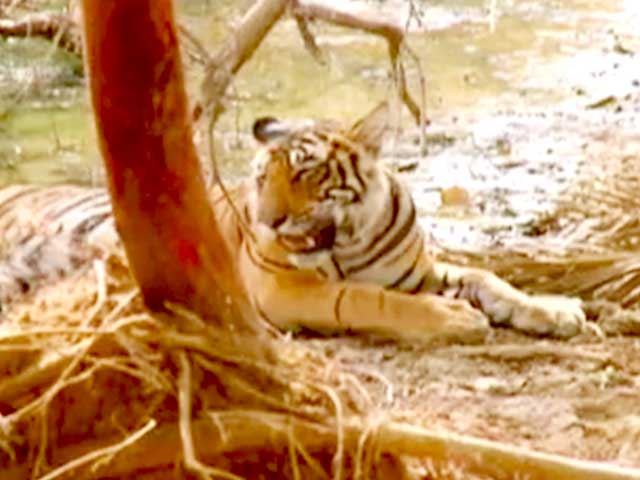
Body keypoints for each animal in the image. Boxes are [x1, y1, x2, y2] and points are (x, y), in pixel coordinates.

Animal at [0, 103, 587, 341]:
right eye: (262, 178)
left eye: (306, 172)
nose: (268, 221)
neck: (352, 238)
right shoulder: (281, 288)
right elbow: (370, 300)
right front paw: (452, 318)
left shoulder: (418, 270)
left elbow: (489, 278)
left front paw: (554, 312)